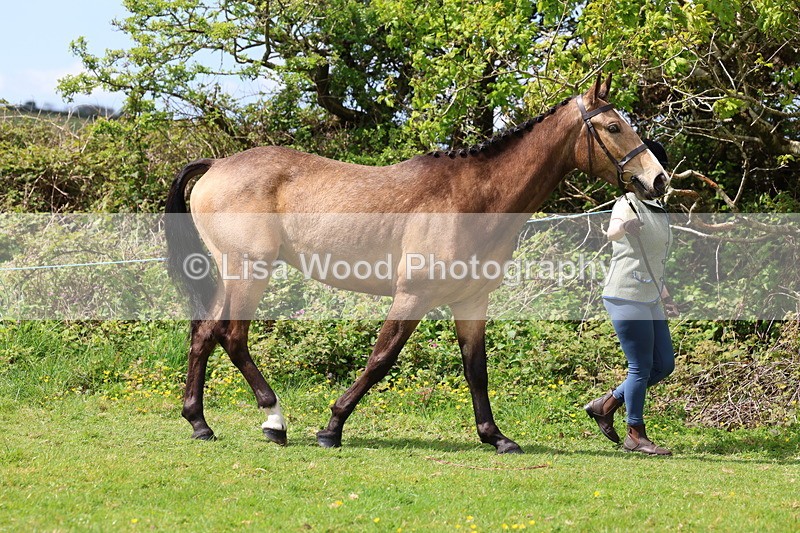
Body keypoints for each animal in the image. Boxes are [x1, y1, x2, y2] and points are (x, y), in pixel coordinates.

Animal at [164, 74, 668, 454]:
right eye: (613, 127)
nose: (658, 179)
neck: (473, 198)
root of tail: (217, 166)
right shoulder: (413, 296)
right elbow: (380, 359)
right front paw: (332, 427)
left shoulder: (471, 302)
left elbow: (476, 369)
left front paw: (496, 437)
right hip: (249, 271)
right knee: (231, 335)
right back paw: (274, 420)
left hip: (234, 273)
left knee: (204, 333)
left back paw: (199, 423)